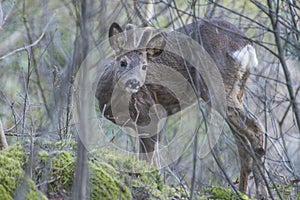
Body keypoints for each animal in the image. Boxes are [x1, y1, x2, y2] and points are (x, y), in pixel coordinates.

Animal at [96, 19, 270, 198]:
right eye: (123, 62)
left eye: (145, 66)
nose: (134, 83)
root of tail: (246, 45)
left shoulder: (150, 112)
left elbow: (148, 155)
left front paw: (149, 183)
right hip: (237, 90)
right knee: (242, 141)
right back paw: (242, 192)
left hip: (217, 86)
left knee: (255, 127)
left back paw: (261, 193)